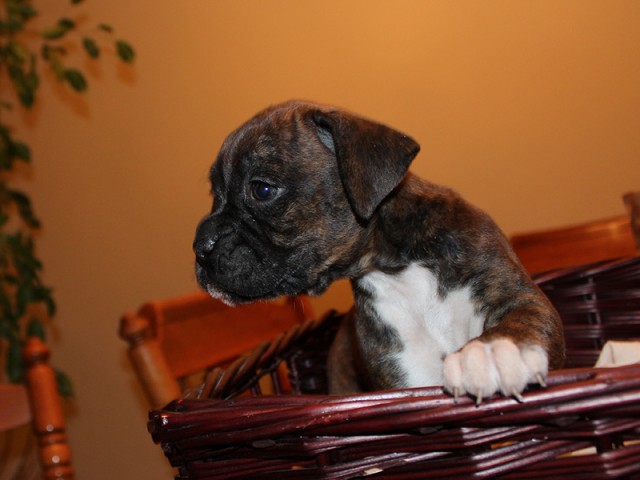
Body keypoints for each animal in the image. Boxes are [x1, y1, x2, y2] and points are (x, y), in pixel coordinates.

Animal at [192, 101, 564, 404]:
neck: (394, 265)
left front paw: (492, 352)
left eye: (262, 189)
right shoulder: (403, 368)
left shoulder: (516, 294)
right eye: (214, 194)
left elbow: (521, 318)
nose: (200, 246)